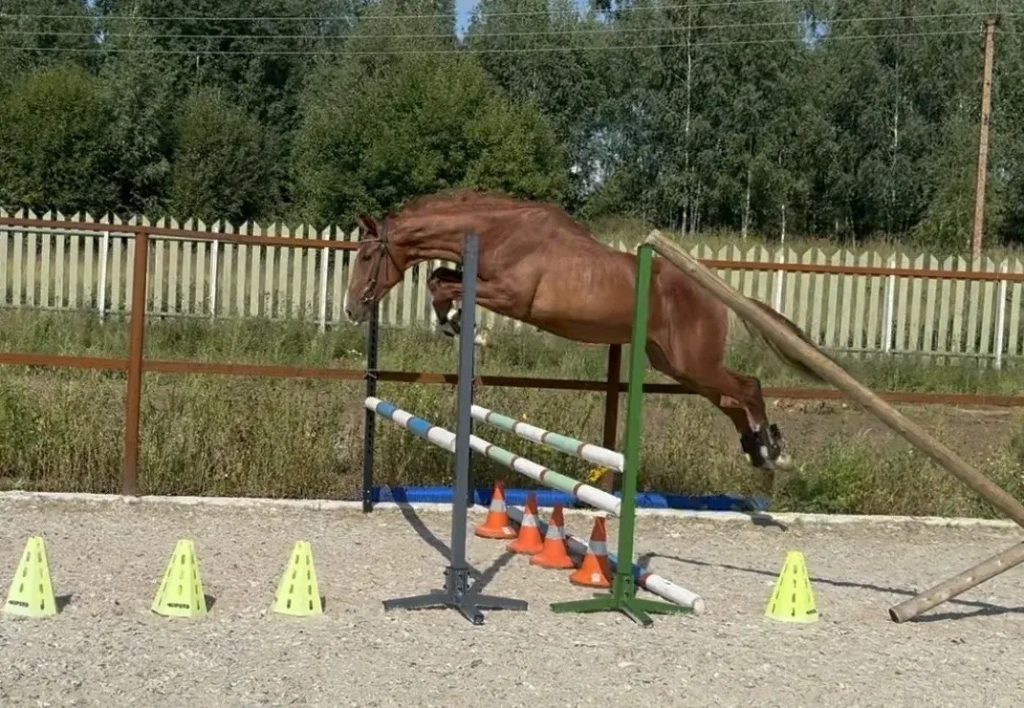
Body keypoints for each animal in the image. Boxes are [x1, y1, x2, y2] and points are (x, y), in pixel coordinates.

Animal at [343, 189, 831, 471]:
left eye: (366, 256)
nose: (351, 310)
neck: (498, 229)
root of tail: (716, 294)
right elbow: (439, 278)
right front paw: (457, 324)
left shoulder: (511, 296)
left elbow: (443, 283)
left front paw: (467, 328)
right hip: (676, 364)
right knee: (732, 400)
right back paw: (756, 451)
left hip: (695, 361)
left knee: (748, 388)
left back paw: (776, 452)